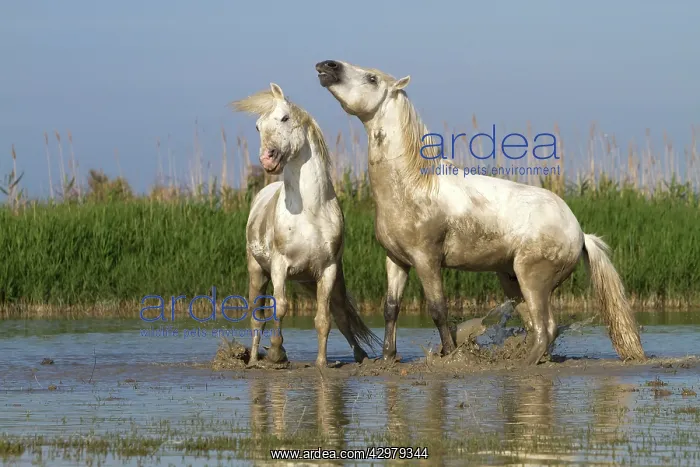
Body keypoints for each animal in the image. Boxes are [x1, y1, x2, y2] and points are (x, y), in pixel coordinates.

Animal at [230, 82, 381, 368]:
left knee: (340, 312)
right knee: (257, 317)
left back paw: (361, 356)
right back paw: (254, 360)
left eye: (285, 118)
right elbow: (280, 307)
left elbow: (324, 318)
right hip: (258, 272)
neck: (310, 212)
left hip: (321, 279)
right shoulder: (279, 267)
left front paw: (322, 362)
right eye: (257, 126)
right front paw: (276, 354)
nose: (267, 159)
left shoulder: (327, 269)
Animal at [314, 60, 645, 365]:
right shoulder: (396, 261)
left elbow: (438, 309)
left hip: (533, 278)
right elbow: (390, 309)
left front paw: (450, 355)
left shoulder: (427, 260)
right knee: (537, 327)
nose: (326, 66)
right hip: (511, 280)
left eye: (372, 78)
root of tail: (579, 232)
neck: (414, 186)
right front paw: (387, 359)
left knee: (545, 328)